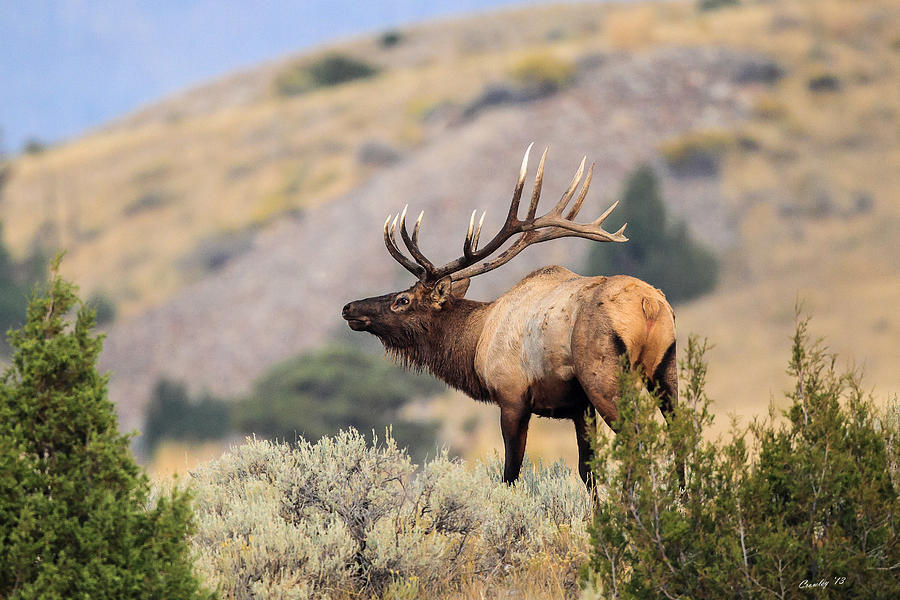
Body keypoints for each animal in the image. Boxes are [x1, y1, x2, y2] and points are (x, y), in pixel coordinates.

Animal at [344, 146, 676, 488]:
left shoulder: (512, 397)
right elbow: (588, 471)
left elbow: (511, 473)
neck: (475, 343)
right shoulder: (579, 407)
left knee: (638, 439)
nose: (349, 308)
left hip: (605, 376)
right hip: (665, 368)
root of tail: (649, 304)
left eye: (403, 300)